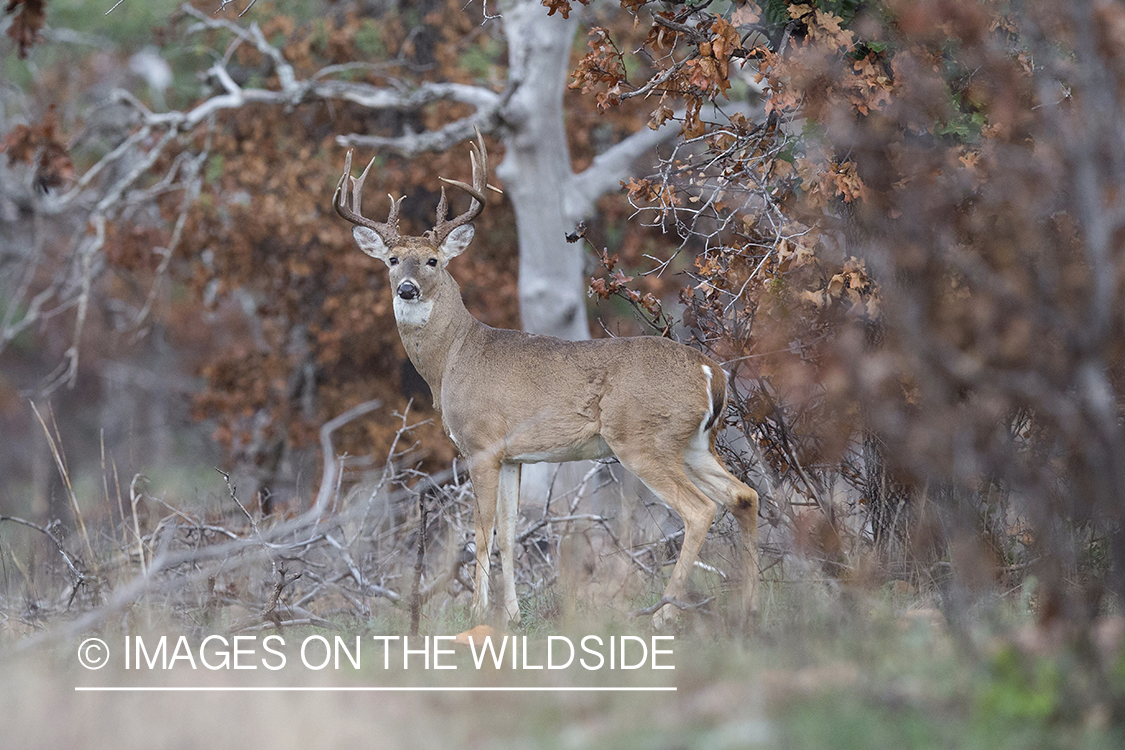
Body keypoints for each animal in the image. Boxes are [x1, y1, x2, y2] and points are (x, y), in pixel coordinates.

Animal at [330, 133, 756, 629]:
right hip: (694, 443)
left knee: (700, 509)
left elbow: (482, 529)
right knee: (744, 495)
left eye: (433, 260)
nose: (407, 288)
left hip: (642, 439)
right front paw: (513, 616)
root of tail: (712, 372)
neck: (454, 357)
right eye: (394, 259)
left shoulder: (481, 444)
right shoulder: (514, 456)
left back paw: (664, 614)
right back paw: (750, 604)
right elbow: (510, 532)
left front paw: (476, 612)